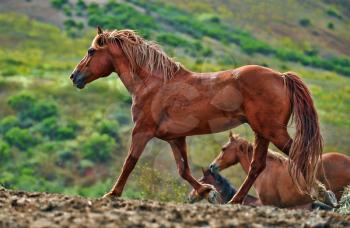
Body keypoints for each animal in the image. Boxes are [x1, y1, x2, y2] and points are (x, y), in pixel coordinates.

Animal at [70, 26, 322, 203]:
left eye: (91, 51)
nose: (74, 77)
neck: (154, 84)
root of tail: (281, 77)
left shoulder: (142, 131)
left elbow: (129, 162)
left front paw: (112, 193)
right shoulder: (174, 138)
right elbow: (184, 170)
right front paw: (206, 192)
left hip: (272, 131)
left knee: (299, 156)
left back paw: (323, 194)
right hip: (262, 133)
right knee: (257, 167)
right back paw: (235, 201)